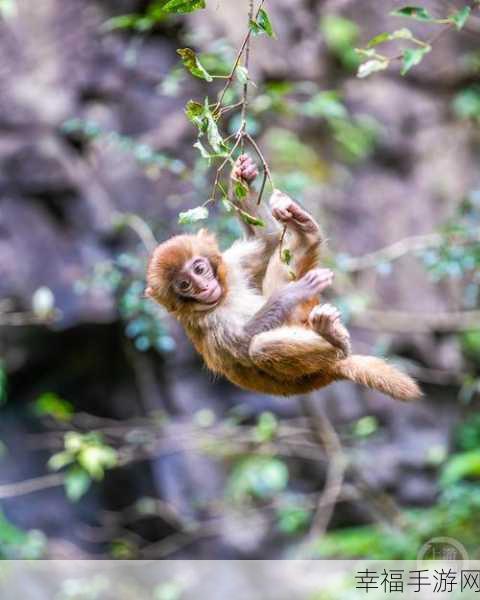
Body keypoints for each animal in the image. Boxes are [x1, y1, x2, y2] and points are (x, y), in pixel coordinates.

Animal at [146, 155, 420, 400]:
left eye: (199, 269)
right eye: (184, 285)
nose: (203, 287)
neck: (221, 299)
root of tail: (332, 372)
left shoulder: (232, 265)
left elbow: (266, 241)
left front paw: (240, 177)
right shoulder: (208, 325)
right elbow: (242, 346)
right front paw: (290, 293)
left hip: (302, 317)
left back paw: (306, 231)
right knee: (260, 347)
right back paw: (337, 342)